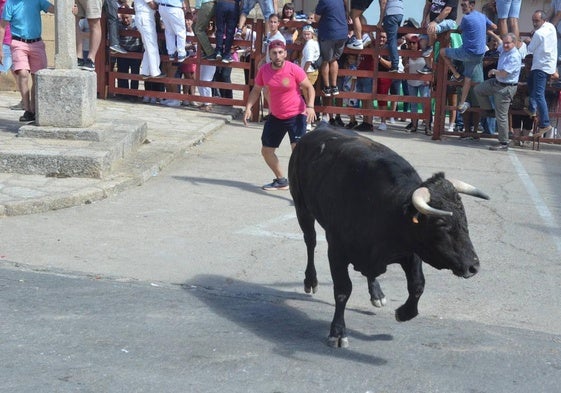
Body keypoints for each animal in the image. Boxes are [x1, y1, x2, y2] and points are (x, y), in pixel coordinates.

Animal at [286, 125, 488, 346]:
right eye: (441, 223)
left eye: (464, 218)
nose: (473, 266)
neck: (383, 207)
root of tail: (319, 128)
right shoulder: (336, 250)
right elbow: (342, 290)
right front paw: (337, 332)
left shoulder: (412, 250)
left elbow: (418, 285)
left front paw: (404, 313)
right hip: (302, 207)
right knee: (310, 241)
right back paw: (310, 281)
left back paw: (376, 292)